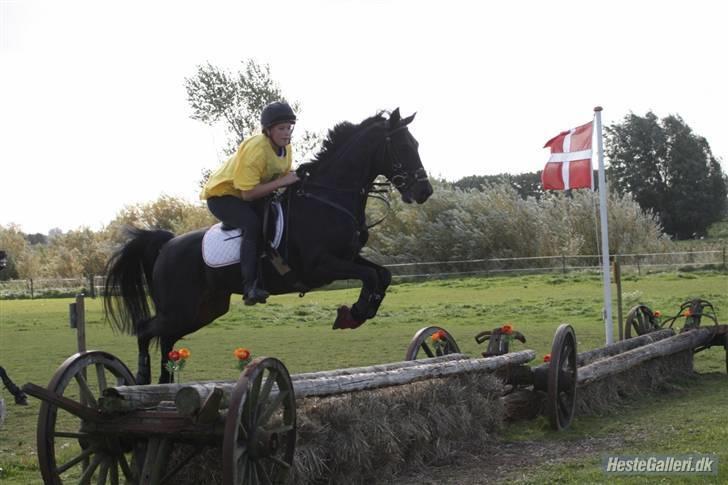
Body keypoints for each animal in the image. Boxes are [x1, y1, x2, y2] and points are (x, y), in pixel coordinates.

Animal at [103, 108, 432, 382]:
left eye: (416, 145)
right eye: (403, 147)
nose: (424, 191)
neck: (328, 198)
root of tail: (167, 245)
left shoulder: (348, 257)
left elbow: (382, 274)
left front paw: (359, 311)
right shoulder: (321, 266)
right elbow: (370, 275)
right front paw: (357, 311)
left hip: (203, 309)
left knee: (168, 339)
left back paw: (164, 381)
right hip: (180, 308)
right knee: (146, 330)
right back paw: (141, 377)